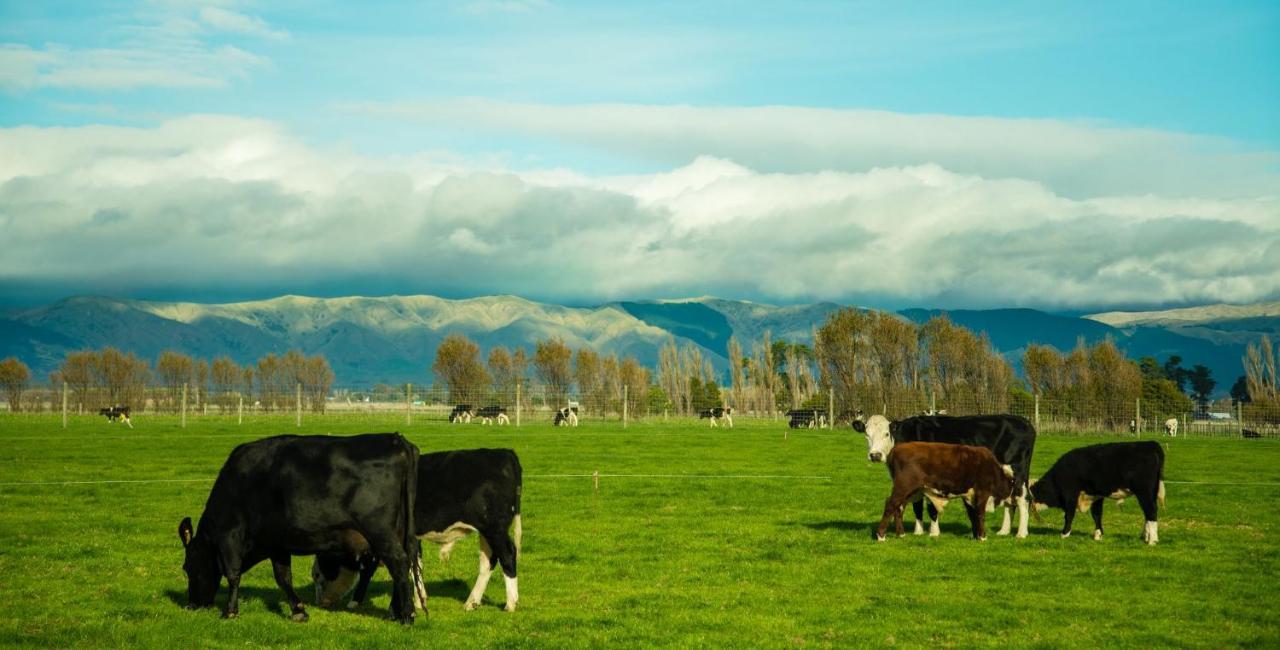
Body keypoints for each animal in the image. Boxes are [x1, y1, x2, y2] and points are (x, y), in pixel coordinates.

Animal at [176, 435, 419, 621]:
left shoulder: (230, 537)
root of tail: (397, 441)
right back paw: (395, 611)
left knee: (399, 563)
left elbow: (233, 574)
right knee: (404, 564)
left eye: (188, 568)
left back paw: (407, 615)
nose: (191, 605)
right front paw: (298, 610)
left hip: (380, 532)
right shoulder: (276, 542)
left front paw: (230, 612)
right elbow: (283, 577)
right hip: (399, 532)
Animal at [312, 450, 522, 611]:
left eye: (319, 574)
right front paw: (420, 601)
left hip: (495, 528)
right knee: (488, 562)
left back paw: (510, 604)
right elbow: (416, 565)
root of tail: (503, 452)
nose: (319, 603)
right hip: (486, 531)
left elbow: (370, 570)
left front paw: (355, 602)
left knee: (507, 555)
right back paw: (472, 602)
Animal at [875, 442, 1013, 542]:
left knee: (899, 507)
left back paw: (901, 534)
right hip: (904, 486)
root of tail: (896, 449)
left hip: (909, 491)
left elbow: (972, 515)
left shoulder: (969, 496)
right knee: (890, 504)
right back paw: (881, 536)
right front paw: (983, 537)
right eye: (1012, 484)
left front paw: (976, 535)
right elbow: (980, 514)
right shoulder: (982, 492)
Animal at [1024, 442, 1167, 542]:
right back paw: (1145, 536)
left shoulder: (1070, 495)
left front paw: (1064, 534)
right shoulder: (1096, 495)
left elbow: (1069, 515)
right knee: (1148, 514)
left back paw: (1152, 540)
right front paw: (1098, 535)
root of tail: (1150, 444)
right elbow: (1097, 515)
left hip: (1144, 492)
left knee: (1151, 511)